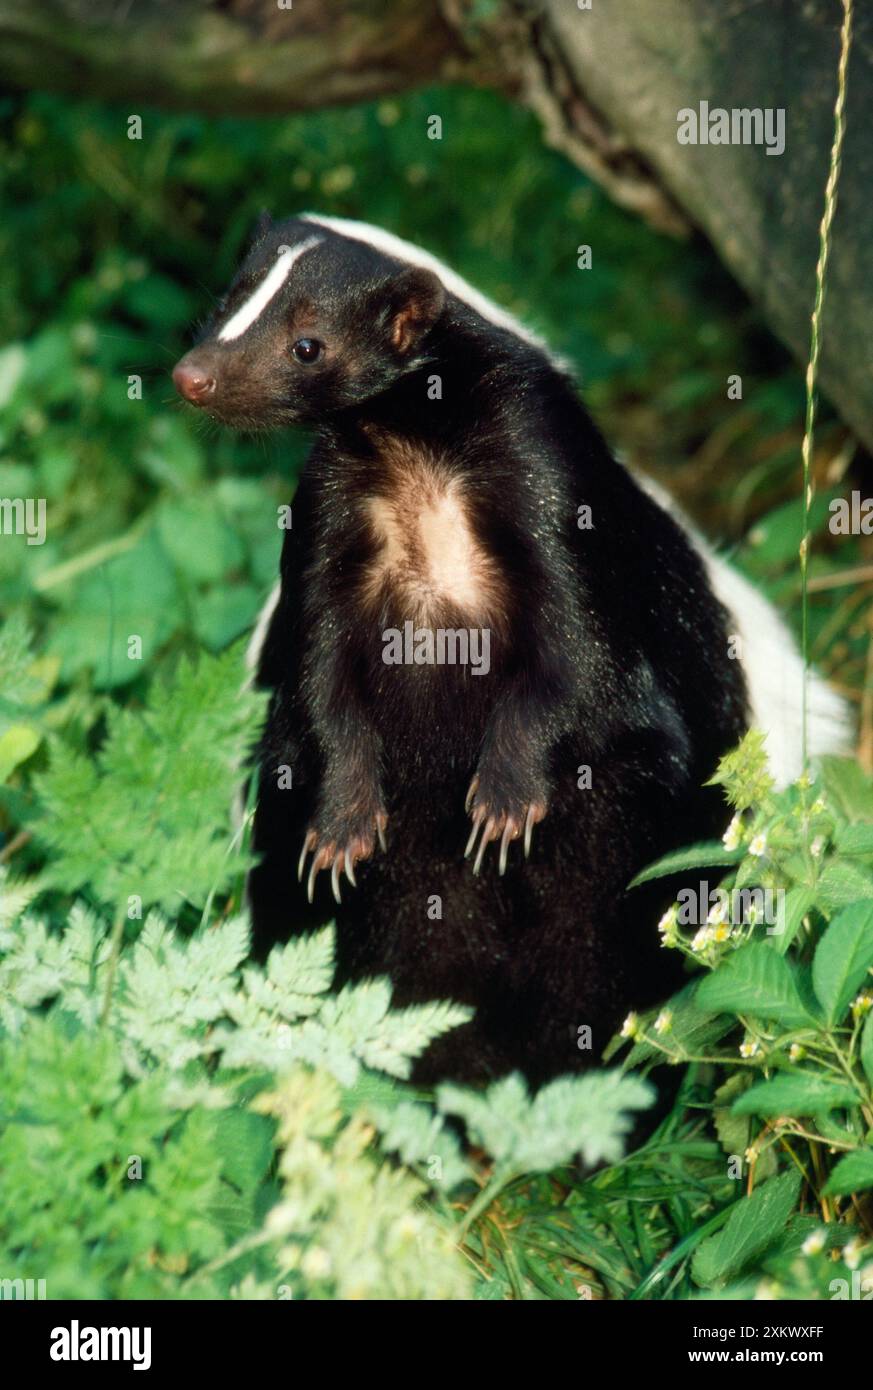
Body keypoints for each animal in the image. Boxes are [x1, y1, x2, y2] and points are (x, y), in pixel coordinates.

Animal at [170, 214, 845, 1084]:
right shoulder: (331, 508)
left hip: (650, 833)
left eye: (307, 344)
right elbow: (318, 674)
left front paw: (503, 800)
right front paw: (343, 822)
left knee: (610, 925)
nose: (194, 376)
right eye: (229, 302)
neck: (413, 451)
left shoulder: (546, 480)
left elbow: (576, 653)